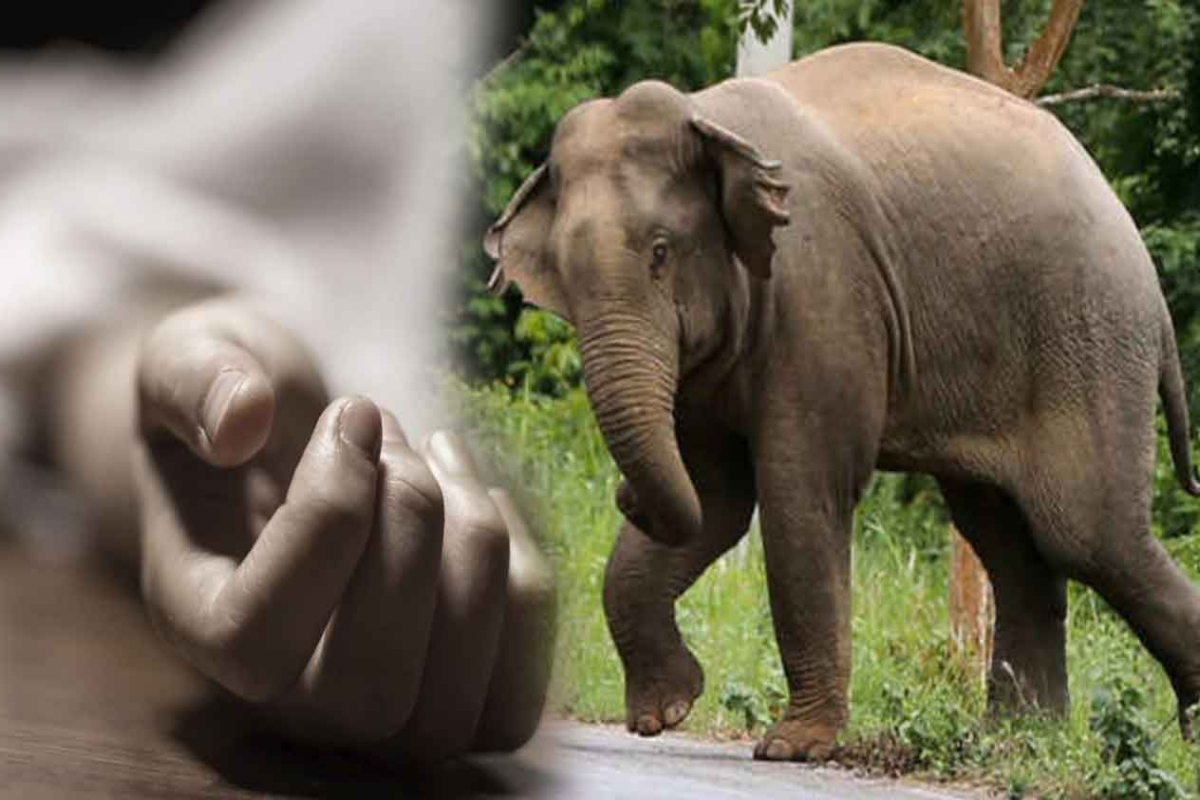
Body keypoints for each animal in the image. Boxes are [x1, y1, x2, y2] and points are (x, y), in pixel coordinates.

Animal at [483, 42, 1200, 761]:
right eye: (562, 276)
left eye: (661, 253)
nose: (622, 496)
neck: (709, 120)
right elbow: (714, 497)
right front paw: (667, 709)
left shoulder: (823, 289)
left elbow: (800, 488)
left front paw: (792, 747)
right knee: (1007, 541)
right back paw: (1015, 743)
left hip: (1088, 340)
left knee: (1086, 533)